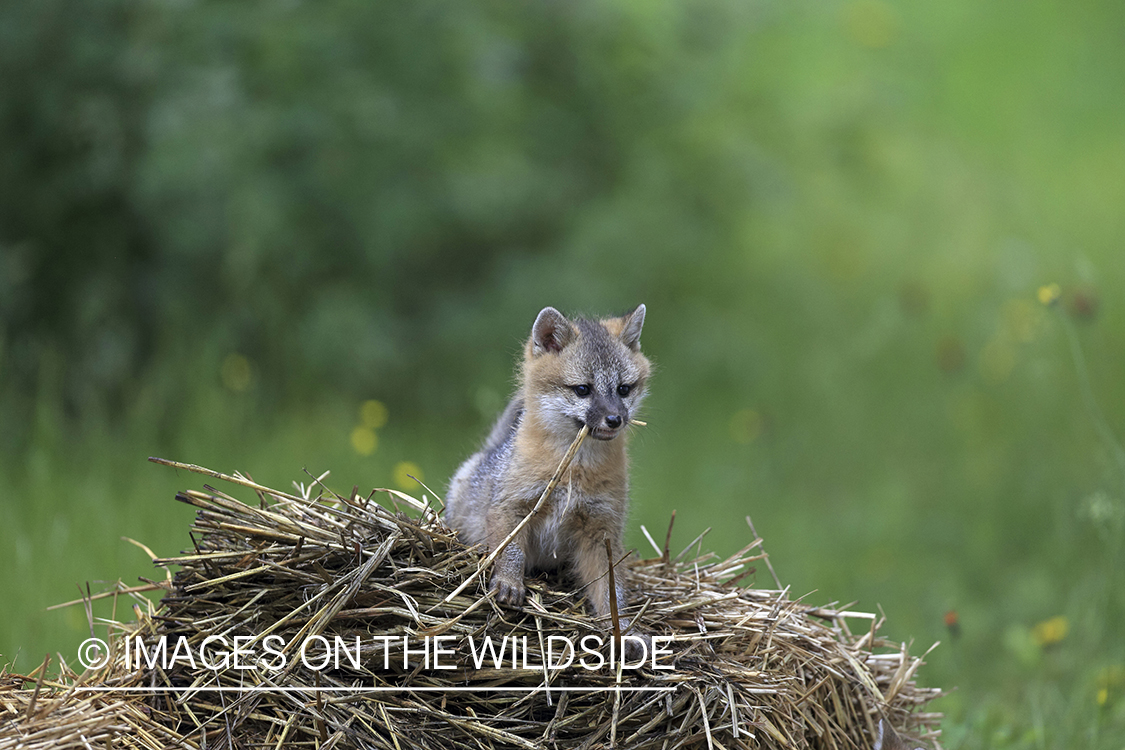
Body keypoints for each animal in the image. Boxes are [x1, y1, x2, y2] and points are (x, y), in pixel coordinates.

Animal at [446, 305, 651, 638]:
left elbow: (612, 588)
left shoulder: (602, 530)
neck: (574, 471)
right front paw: (509, 583)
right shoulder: (511, 507)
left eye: (623, 389)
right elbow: (511, 551)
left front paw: (624, 629)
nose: (615, 419)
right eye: (582, 390)